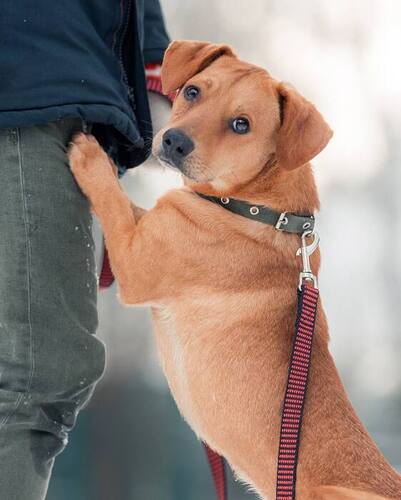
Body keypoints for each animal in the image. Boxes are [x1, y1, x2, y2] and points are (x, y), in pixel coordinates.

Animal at [68, 40, 401, 499]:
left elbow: (114, 201)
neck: (259, 208)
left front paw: (91, 157)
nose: (173, 141)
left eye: (241, 124)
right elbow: (132, 208)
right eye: (192, 92)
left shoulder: (136, 262)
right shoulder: (151, 233)